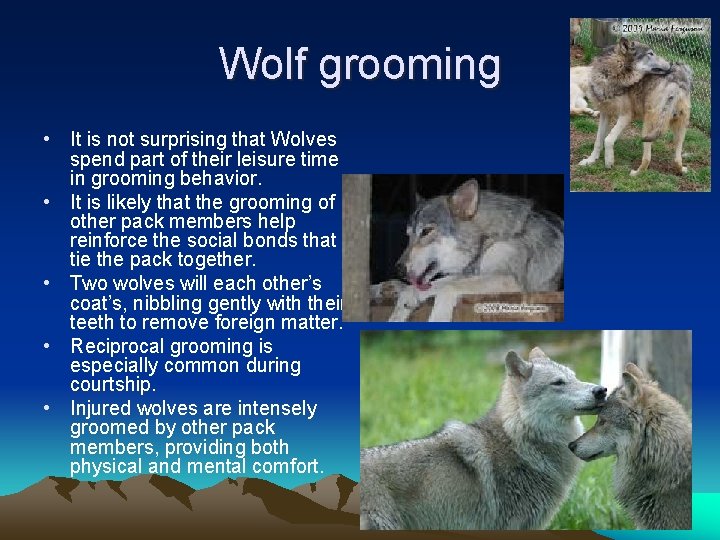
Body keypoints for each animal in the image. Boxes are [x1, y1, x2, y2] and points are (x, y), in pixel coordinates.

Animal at [378, 178, 563, 322]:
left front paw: (438, 318)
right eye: (408, 235)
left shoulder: (511, 281)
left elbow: (448, 287)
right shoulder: (473, 273)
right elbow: (429, 285)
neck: (488, 239)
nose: (398, 270)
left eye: (426, 231)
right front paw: (402, 306)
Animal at [578, 37, 692, 176]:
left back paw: (636, 173)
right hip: (680, 127)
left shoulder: (626, 115)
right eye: (650, 53)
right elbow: (598, 140)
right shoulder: (605, 113)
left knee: (647, 158)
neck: (612, 73)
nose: (671, 64)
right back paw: (681, 170)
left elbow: (608, 139)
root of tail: (676, 82)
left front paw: (609, 162)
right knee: (677, 158)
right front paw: (590, 160)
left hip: (647, 127)